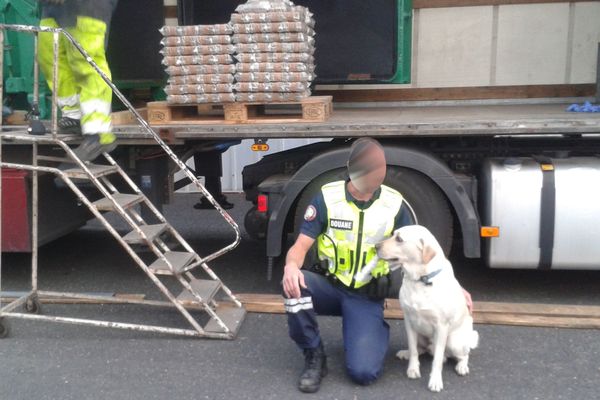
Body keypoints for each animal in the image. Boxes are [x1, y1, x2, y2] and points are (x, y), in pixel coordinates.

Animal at [376, 225, 478, 394]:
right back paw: (406, 353)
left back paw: (462, 366)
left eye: (399, 239)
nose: (375, 246)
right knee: (421, 350)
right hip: (421, 335)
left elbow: (437, 360)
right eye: (393, 234)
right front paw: (413, 368)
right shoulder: (409, 321)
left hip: (454, 341)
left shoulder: (442, 326)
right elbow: (414, 349)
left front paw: (435, 381)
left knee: (463, 354)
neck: (421, 280)